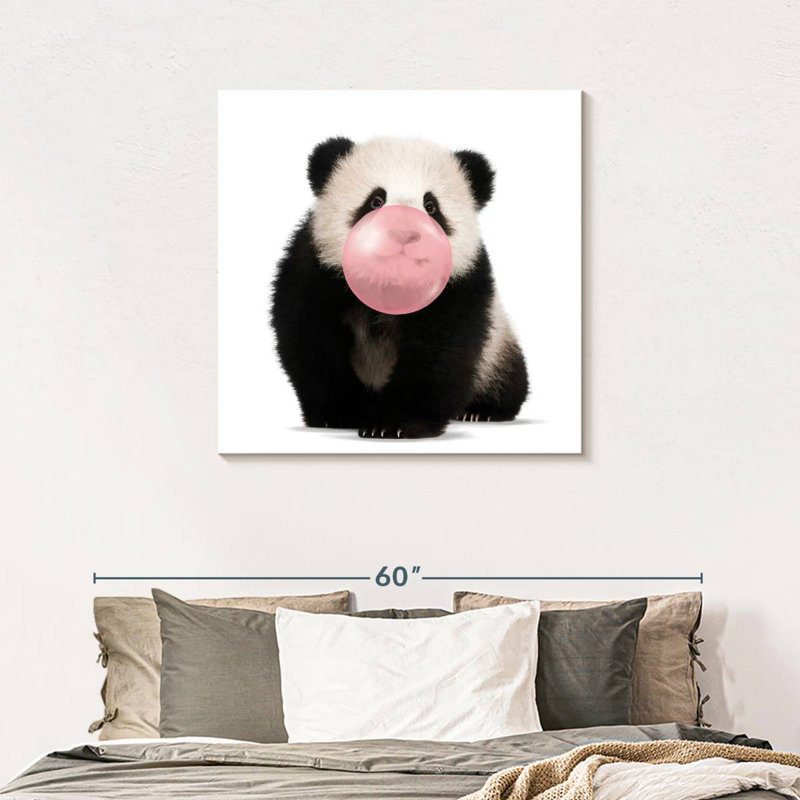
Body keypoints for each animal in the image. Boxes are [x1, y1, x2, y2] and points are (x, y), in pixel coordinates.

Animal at [270, 136, 528, 439]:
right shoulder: (316, 271)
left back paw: (482, 410)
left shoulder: (459, 287)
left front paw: (395, 423)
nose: (403, 232)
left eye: (431, 206)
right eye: (375, 201)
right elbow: (311, 339)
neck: (390, 285)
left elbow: (439, 352)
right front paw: (342, 413)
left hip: (497, 349)